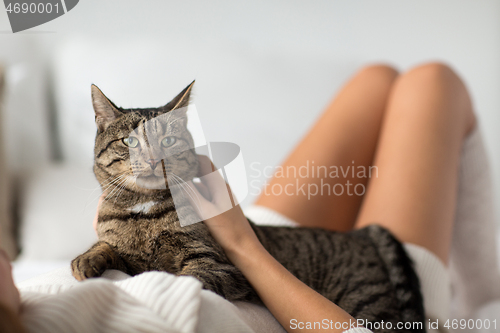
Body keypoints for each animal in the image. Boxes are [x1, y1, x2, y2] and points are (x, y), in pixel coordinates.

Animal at [71, 81, 426, 332]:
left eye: (168, 141)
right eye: (129, 142)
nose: (153, 159)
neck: (143, 211)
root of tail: (359, 234)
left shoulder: (216, 264)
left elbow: (188, 277)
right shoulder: (129, 258)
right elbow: (107, 246)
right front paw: (86, 259)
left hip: (370, 306)